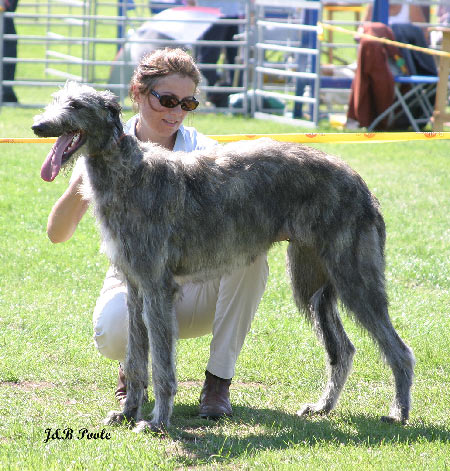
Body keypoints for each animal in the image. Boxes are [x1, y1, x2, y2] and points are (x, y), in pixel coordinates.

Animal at [32, 81, 414, 436]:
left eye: (76, 104)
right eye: (56, 100)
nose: (38, 126)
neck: (129, 171)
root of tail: (360, 184)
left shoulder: (157, 288)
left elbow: (161, 365)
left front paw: (158, 422)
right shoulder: (136, 288)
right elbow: (137, 359)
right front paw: (127, 413)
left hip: (354, 278)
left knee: (398, 349)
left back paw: (399, 412)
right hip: (311, 283)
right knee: (343, 349)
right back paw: (323, 406)